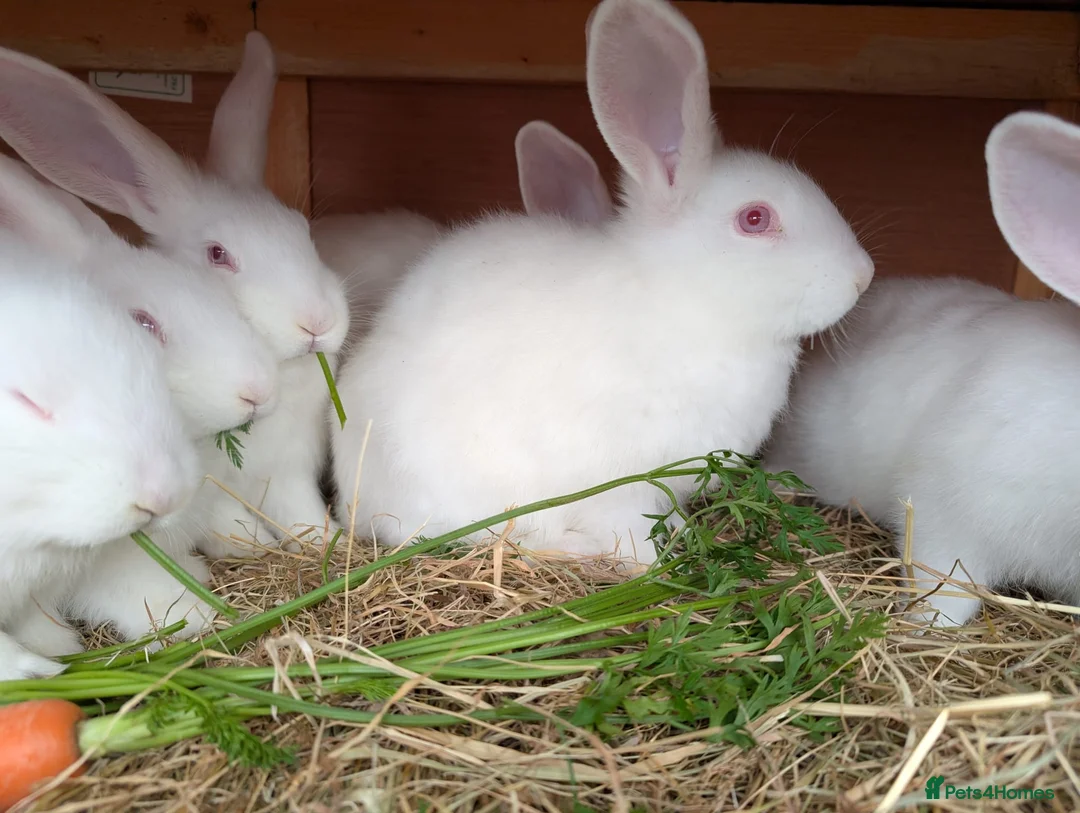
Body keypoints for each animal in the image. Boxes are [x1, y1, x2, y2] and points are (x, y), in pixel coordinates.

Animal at [0, 33, 350, 556]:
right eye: (218, 254)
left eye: (303, 229)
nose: (318, 322)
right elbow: (228, 525)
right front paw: (253, 545)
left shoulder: (287, 474)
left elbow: (303, 515)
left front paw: (333, 542)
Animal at [330, 0, 874, 564]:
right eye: (755, 219)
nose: (863, 276)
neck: (687, 302)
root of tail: (351, 497)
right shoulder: (620, 485)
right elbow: (630, 530)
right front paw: (651, 561)